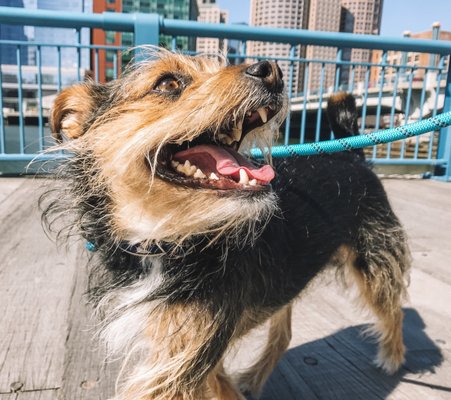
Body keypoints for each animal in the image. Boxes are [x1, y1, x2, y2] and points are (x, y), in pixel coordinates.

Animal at [40, 48, 412, 398]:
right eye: (167, 83)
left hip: (375, 261)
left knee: (393, 308)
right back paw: (254, 377)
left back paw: (393, 355)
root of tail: (353, 155)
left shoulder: (183, 360)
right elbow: (218, 380)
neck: (160, 241)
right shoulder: (189, 349)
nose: (272, 70)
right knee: (284, 333)